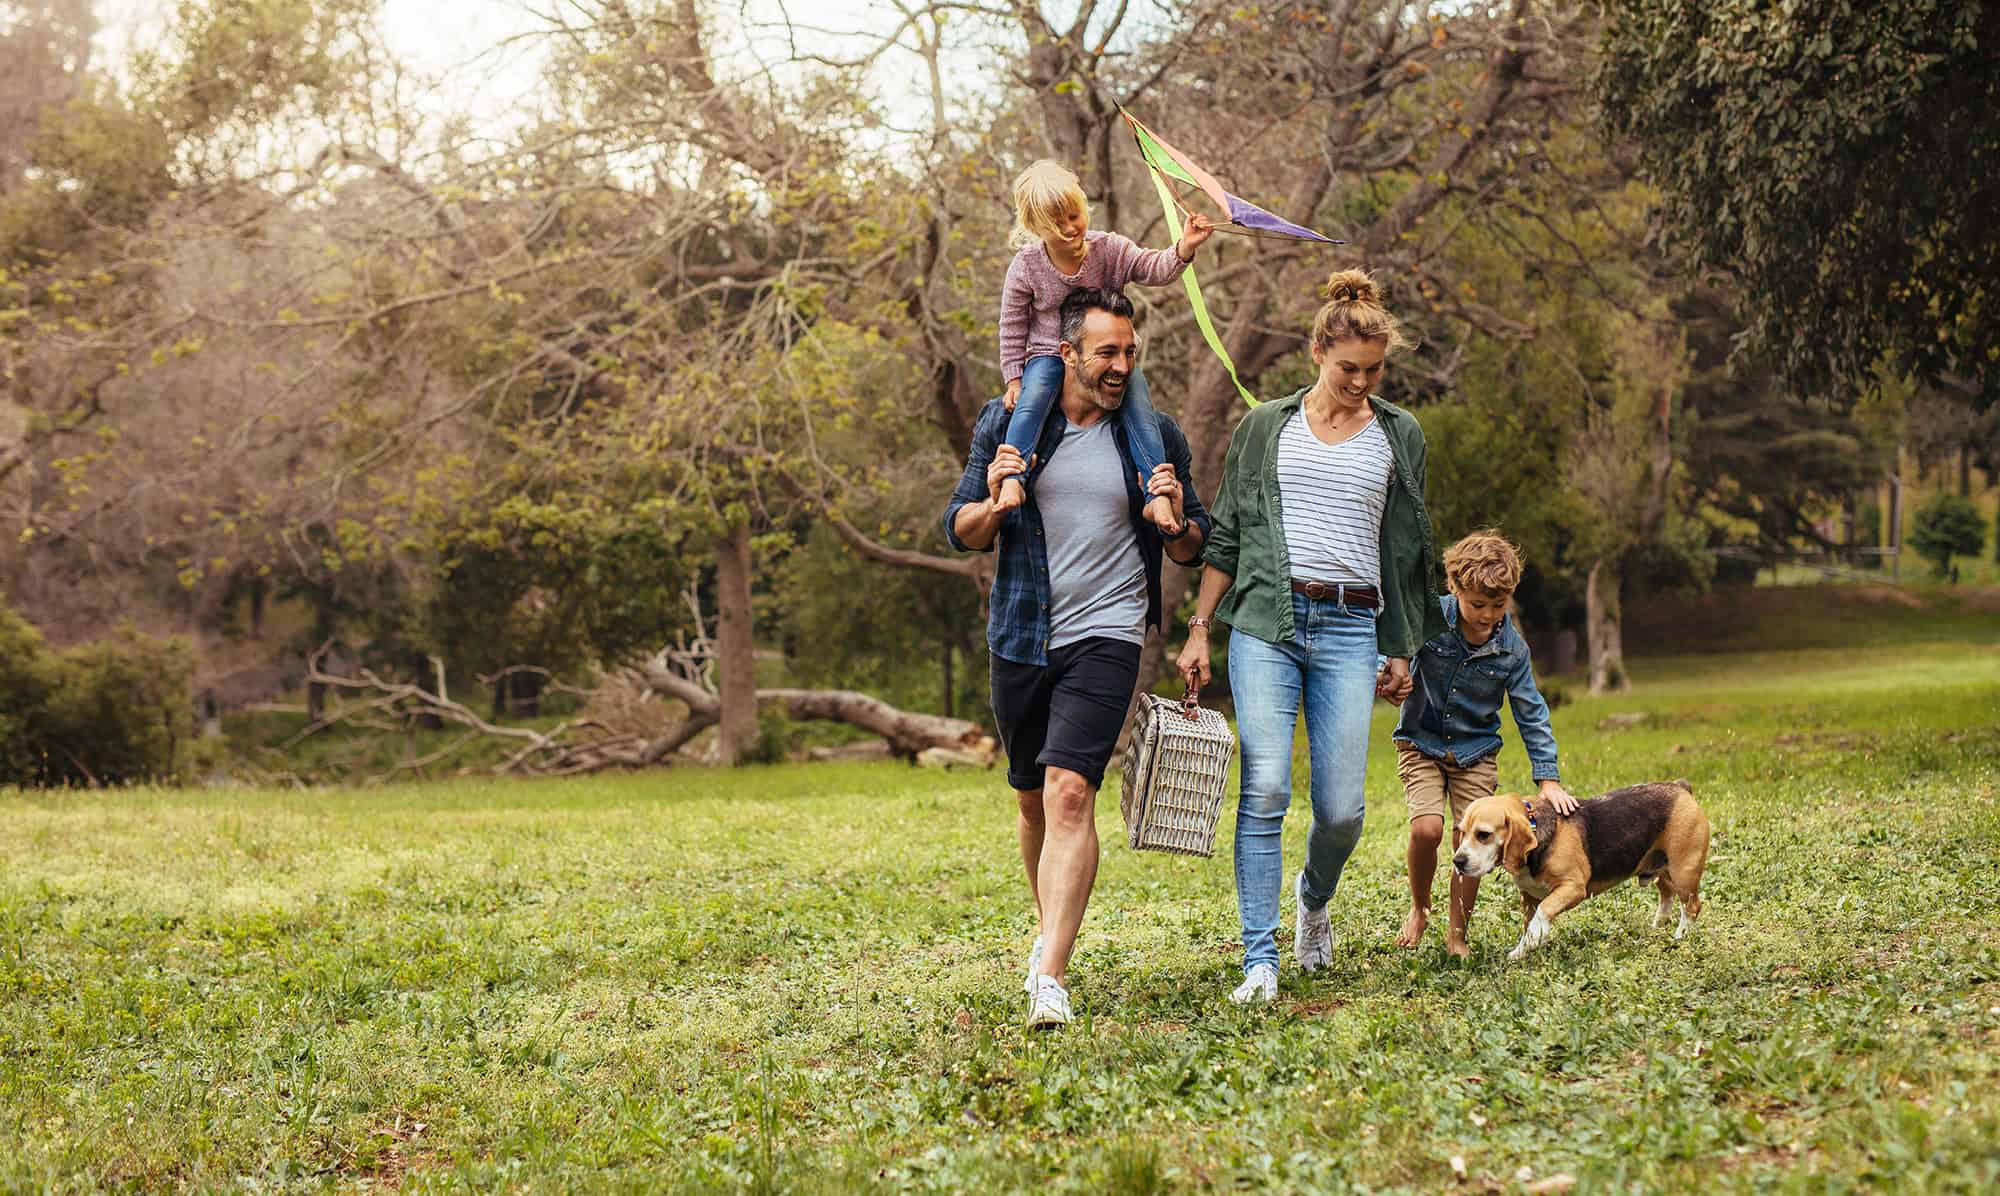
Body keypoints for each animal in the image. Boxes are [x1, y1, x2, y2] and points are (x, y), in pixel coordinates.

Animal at [1448, 780, 1712, 964]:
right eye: (1461, 831)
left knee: (1691, 906)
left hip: (1684, 871)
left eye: (1484, 834)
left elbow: (1542, 914)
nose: (1457, 861)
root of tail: (1681, 788)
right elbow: (1529, 923)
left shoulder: (1572, 888)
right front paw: (1527, 948)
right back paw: (1657, 926)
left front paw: (1527, 946)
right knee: (1666, 894)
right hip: (1662, 870)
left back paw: (1680, 936)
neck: (1536, 830)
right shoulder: (1529, 897)